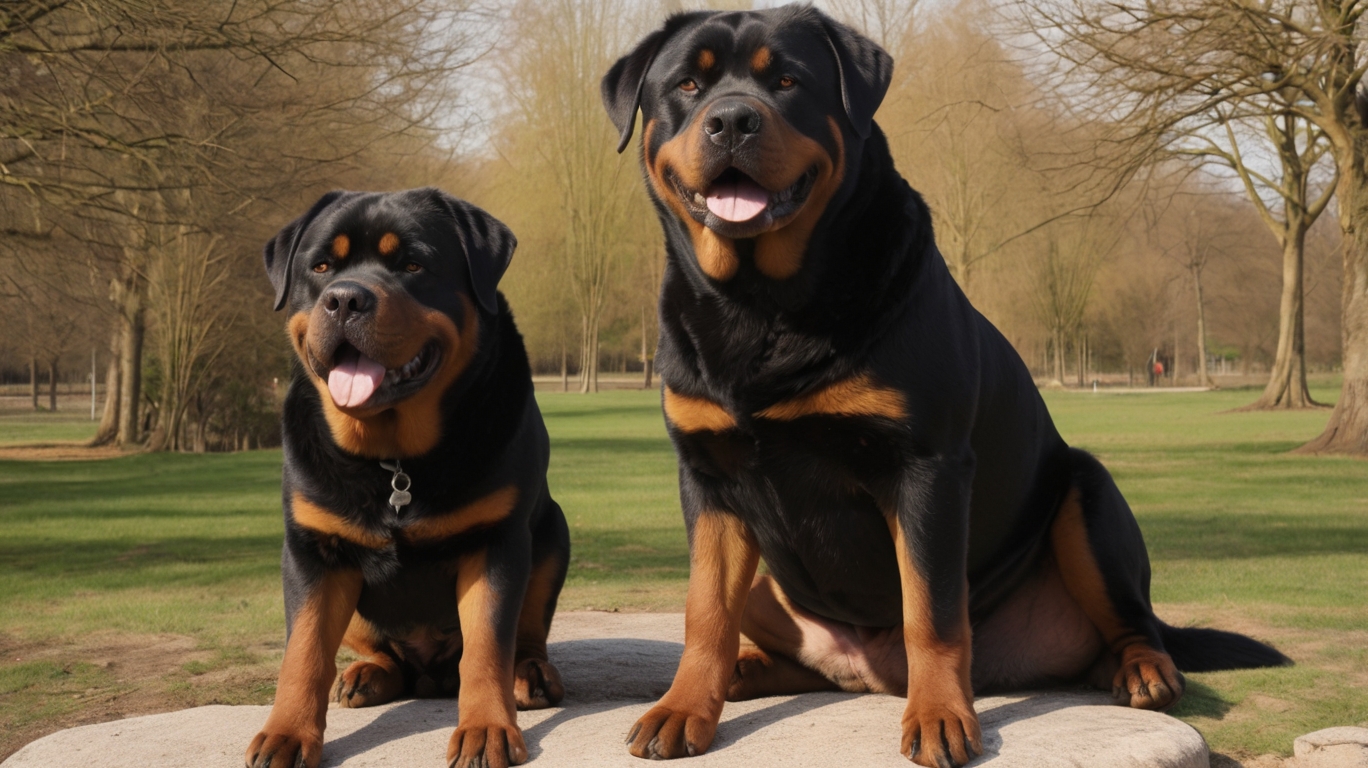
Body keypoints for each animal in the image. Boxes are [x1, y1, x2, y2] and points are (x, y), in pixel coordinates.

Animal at [246, 187, 566, 766]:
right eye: (321, 267)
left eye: (413, 264)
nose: (344, 299)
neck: (395, 460)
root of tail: (428, 675)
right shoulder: (313, 550)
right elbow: (303, 651)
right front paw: (286, 733)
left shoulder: (497, 542)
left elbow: (487, 645)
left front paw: (486, 727)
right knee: (375, 651)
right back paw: (367, 675)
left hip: (553, 532)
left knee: (524, 632)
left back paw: (529, 674)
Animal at [601, 7, 1291, 766]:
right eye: (688, 85)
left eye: (786, 81)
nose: (731, 119)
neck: (760, 304)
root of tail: (872, 671)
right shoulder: (708, 474)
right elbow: (704, 611)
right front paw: (685, 705)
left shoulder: (926, 465)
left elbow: (931, 610)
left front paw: (937, 715)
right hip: (769, 587)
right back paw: (748, 671)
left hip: (1089, 495)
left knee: (1135, 622)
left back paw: (1141, 670)